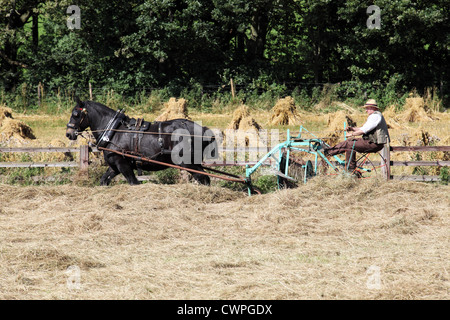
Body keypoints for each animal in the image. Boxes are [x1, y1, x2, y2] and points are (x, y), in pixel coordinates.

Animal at [65, 97, 218, 185]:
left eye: (75, 114)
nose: (68, 133)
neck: (113, 131)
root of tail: (203, 129)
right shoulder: (114, 166)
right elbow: (104, 181)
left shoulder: (123, 164)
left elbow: (133, 182)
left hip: (187, 163)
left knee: (204, 179)